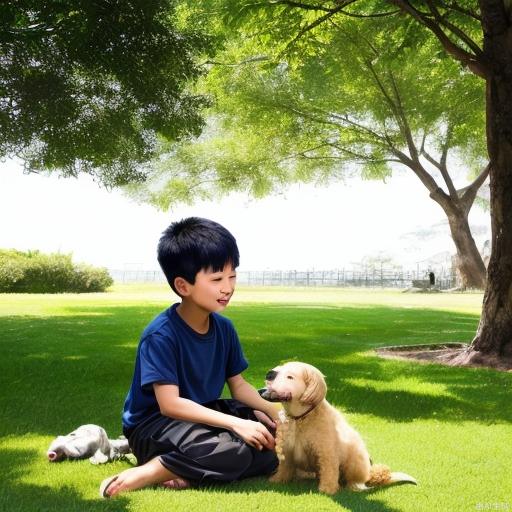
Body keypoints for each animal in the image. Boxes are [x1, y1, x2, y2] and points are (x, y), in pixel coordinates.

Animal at [260, 362, 416, 494]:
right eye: (278, 368)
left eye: (290, 376)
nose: (269, 374)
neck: (301, 418)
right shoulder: (288, 450)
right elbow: (284, 467)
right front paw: (278, 480)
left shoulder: (326, 451)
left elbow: (329, 470)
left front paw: (327, 489)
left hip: (355, 459)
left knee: (355, 481)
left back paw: (353, 486)